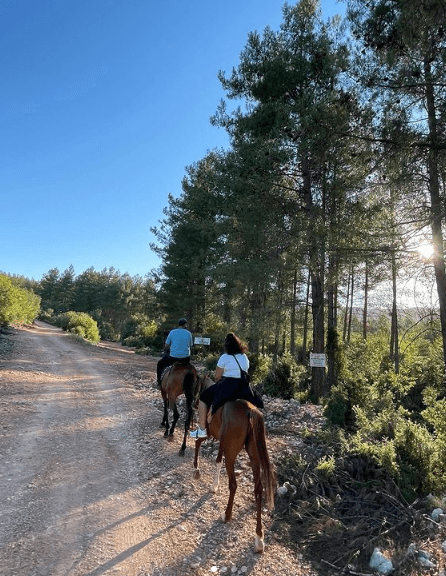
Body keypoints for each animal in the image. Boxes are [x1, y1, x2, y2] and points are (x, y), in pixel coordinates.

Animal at [193, 378, 278, 552]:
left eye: (196, 385)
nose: (194, 404)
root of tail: (250, 411)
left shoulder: (211, 434)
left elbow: (200, 444)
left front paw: (197, 470)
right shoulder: (219, 440)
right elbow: (215, 457)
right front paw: (212, 484)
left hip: (231, 454)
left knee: (233, 484)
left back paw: (227, 515)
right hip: (254, 456)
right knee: (258, 488)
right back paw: (259, 537)